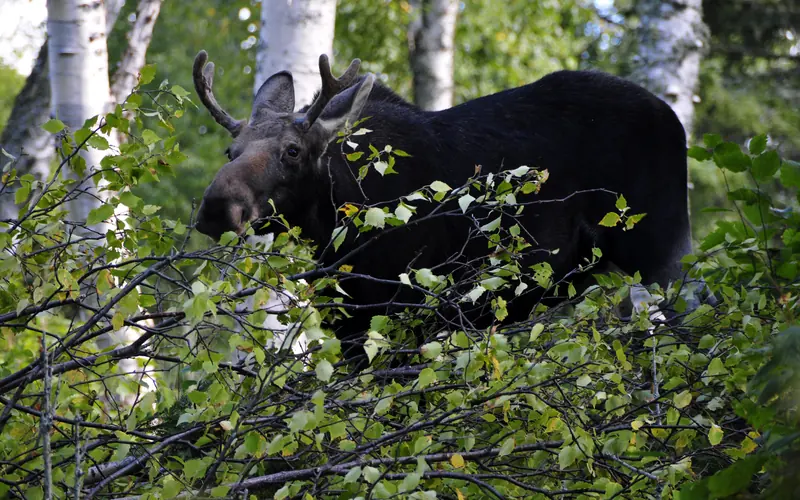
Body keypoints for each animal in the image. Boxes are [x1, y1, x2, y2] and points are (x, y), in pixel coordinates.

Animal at [191, 50, 709, 363]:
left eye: (293, 151)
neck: (331, 229)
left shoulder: (395, 311)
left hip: (660, 246)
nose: (218, 207)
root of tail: (674, 118)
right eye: (230, 152)